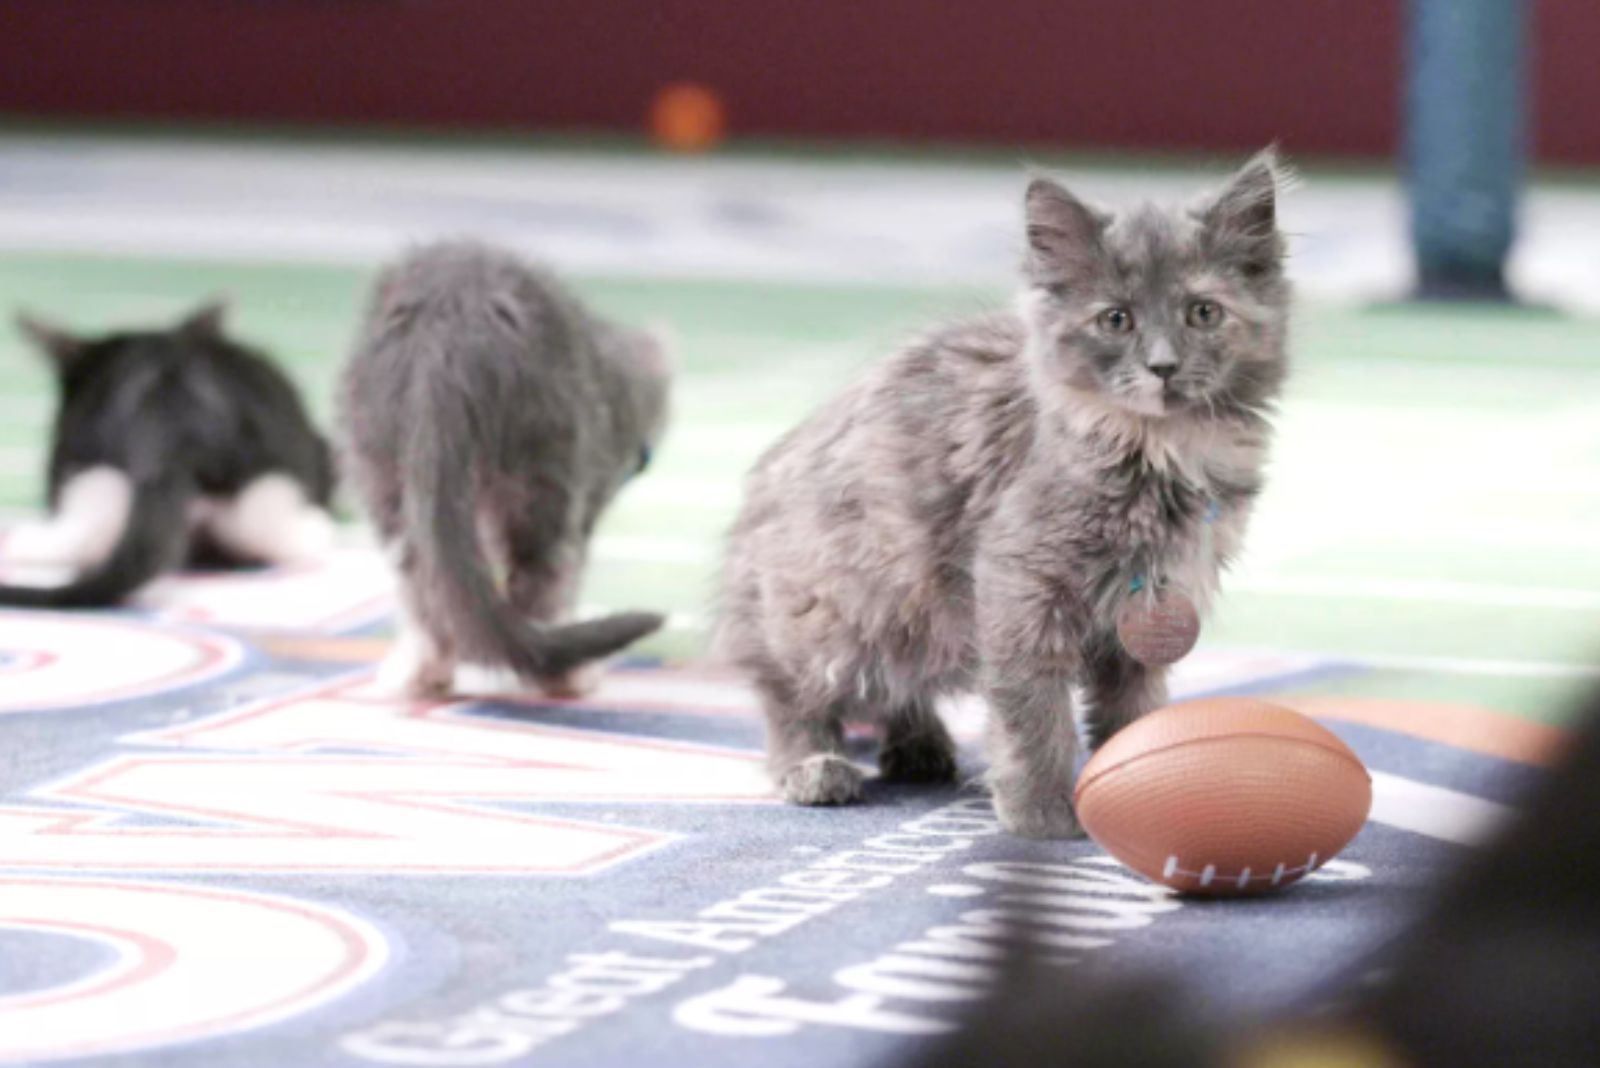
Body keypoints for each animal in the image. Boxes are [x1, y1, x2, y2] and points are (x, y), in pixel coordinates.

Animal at [344, 238, 668, 697]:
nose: (638, 463)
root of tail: (453, 312)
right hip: (546, 468)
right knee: (541, 581)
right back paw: (564, 677)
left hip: (382, 464)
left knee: (423, 584)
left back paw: (421, 672)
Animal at [720, 151, 1292, 831]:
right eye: (1116, 319)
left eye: (1202, 312)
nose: (1162, 366)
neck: (1157, 450)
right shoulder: (1019, 585)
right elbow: (1034, 714)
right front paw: (1041, 815)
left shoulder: (1150, 608)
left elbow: (1135, 711)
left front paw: (1146, 788)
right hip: (834, 610)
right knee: (793, 696)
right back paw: (815, 768)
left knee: (894, 690)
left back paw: (919, 746)